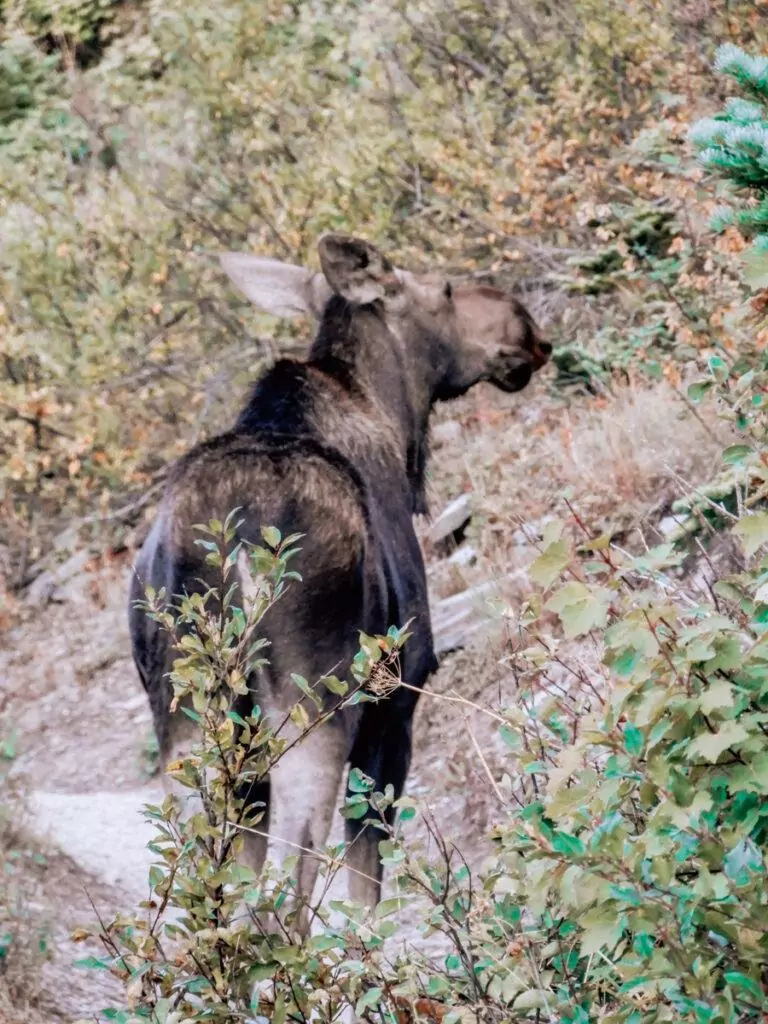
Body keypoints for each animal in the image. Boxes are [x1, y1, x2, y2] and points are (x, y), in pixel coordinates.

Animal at [131, 234, 552, 937]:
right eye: (443, 290)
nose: (525, 329)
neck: (396, 424)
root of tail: (231, 542)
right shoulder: (396, 703)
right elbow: (367, 888)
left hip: (194, 723)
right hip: (310, 708)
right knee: (284, 894)